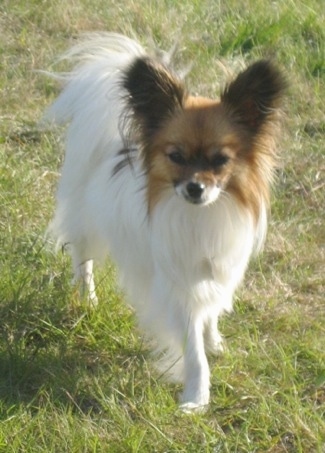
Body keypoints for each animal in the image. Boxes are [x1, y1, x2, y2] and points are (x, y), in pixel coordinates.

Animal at [43, 33, 286, 412]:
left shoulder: (216, 269)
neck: (200, 216)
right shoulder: (177, 287)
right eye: (176, 156)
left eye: (220, 160)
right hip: (87, 223)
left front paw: (214, 341)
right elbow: (193, 351)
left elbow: (210, 313)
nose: (194, 188)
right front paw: (196, 398)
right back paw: (89, 299)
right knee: (83, 258)